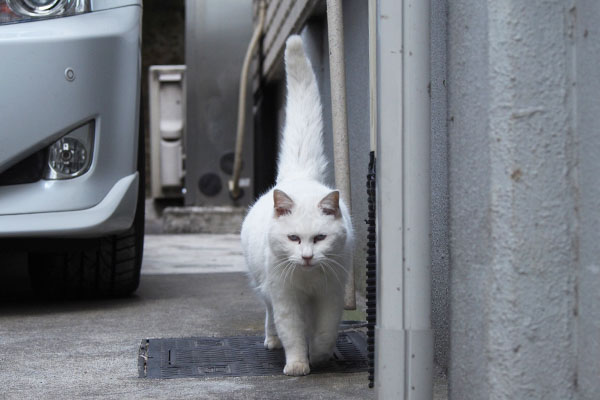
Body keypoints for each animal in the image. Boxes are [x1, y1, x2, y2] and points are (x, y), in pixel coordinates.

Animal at [240, 36, 354, 376]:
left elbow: (325, 331)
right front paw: (298, 365)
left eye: (319, 238)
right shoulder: (286, 298)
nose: (306, 257)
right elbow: (292, 331)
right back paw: (272, 340)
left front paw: (320, 355)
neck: (308, 280)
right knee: (269, 315)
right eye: (293, 238)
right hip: (264, 286)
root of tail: (299, 176)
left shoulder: (330, 296)